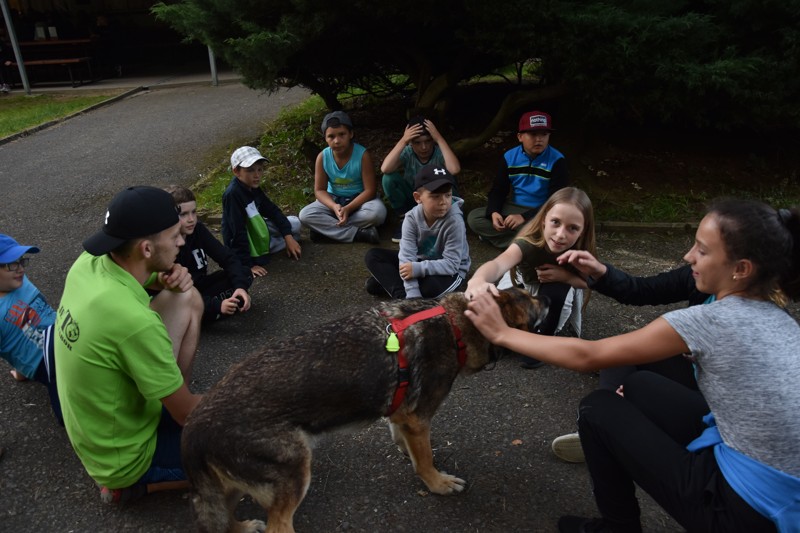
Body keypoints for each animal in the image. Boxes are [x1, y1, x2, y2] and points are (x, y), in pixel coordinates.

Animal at [183, 288, 544, 528]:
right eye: (530, 299)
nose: (548, 297)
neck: (457, 324)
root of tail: (192, 428)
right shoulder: (418, 417)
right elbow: (425, 460)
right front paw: (437, 483)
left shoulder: (403, 416)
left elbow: (407, 442)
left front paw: (411, 456)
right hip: (295, 470)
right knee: (277, 525)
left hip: (230, 487)